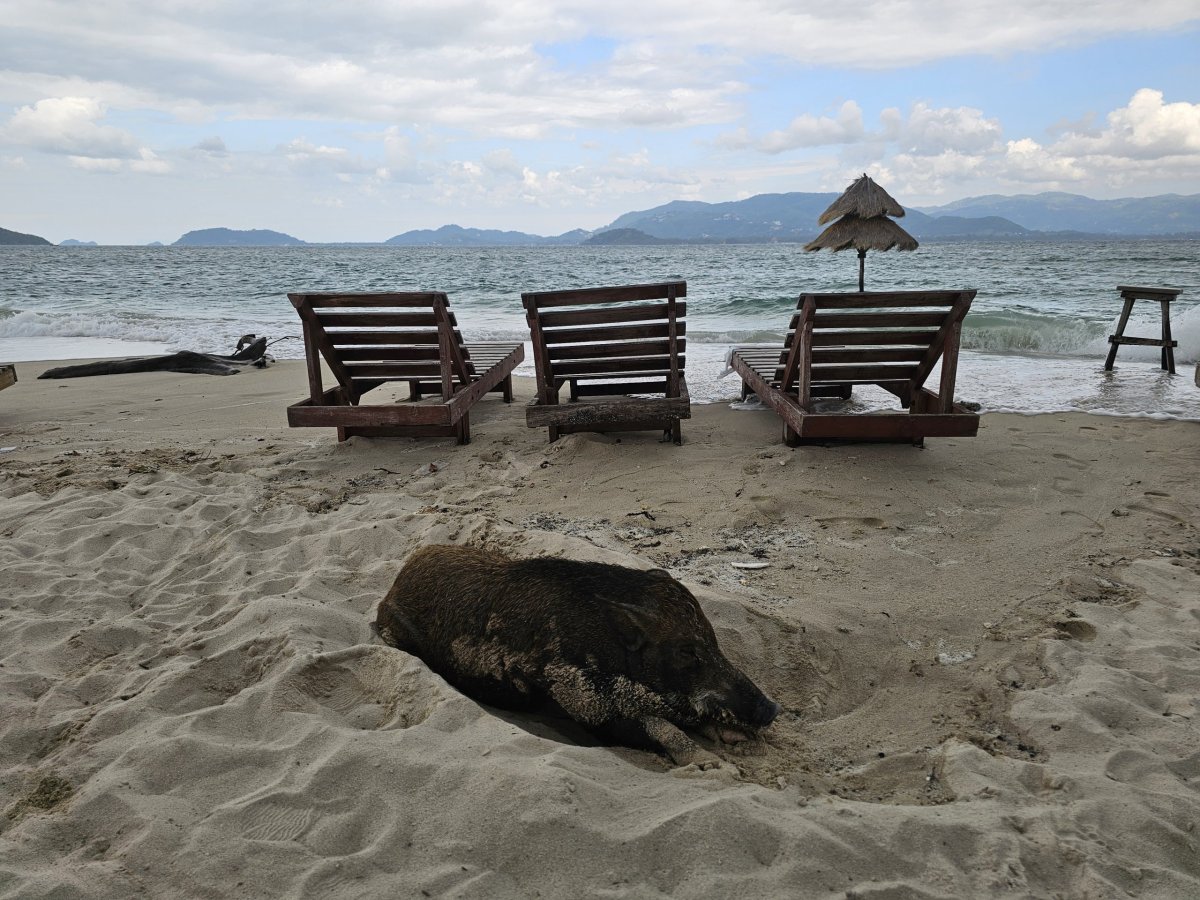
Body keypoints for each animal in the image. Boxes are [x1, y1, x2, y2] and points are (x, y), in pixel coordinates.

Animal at [373, 544, 780, 768]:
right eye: (686, 650)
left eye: (713, 638)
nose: (772, 708)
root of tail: (391, 588)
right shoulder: (585, 706)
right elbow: (661, 727)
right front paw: (718, 768)